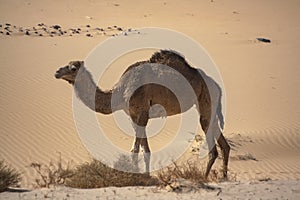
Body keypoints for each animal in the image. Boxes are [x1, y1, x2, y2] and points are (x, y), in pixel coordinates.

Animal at [55, 49, 231, 178]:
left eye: (73, 68)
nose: (57, 72)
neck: (120, 91)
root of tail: (217, 85)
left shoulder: (141, 113)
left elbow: (134, 149)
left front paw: (135, 177)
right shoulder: (134, 115)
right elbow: (145, 150)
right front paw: (145, 176)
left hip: (205, 100)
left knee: (212, 147)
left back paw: (204, 178)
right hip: (208, 105)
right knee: (223, 144)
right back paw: (223, 177)